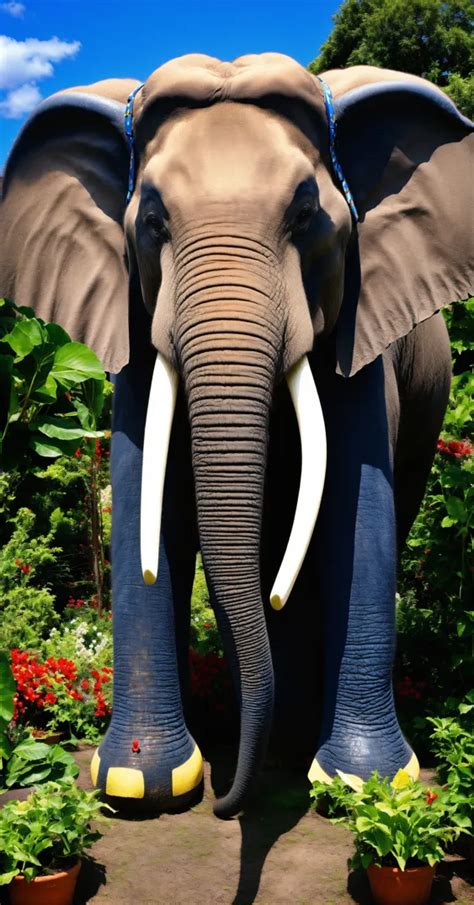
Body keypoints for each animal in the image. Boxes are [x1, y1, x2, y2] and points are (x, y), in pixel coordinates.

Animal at [1, 53, 472, 820]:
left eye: (307, 215)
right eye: (152, 220)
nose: (226, 806)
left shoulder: (361, 330)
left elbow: (358, 513)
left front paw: (366, 787)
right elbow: (146, 500)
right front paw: (138, 784)